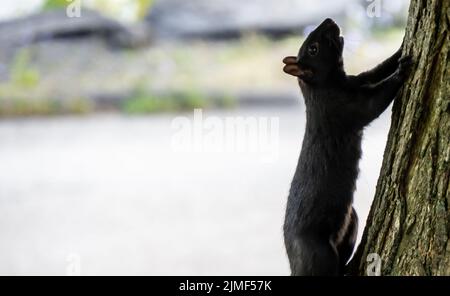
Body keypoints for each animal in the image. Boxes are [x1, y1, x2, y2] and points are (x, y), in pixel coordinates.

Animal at [284, 18, 414, 276]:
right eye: (313, 48)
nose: (330, 21)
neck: (323, 86)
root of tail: (295, 265)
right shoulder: (344, 109)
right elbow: (375, 102)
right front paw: (401, 72)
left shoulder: (357, 80)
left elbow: (376, 70)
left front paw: (400, 48)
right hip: (318, 253)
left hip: (350, 219)